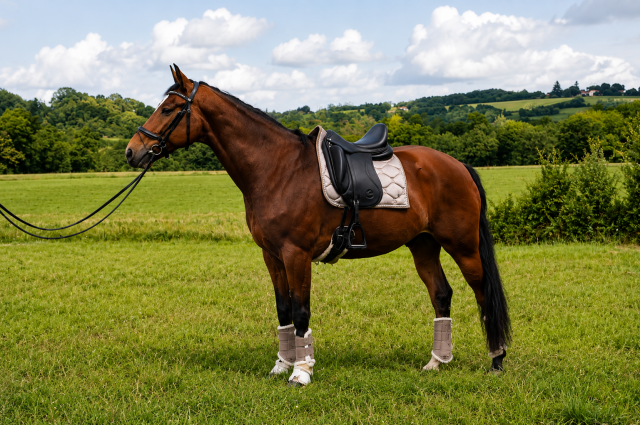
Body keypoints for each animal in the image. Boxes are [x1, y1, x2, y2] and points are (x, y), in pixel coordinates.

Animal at [125, 65, 511, 386]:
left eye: (169, 109)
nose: (132, 151)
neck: (278, 169)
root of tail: (458, 165)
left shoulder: (296, 255)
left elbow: (301, 310)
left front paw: (301, 371)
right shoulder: (272, 255)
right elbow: (283, 309)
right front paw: (281, 364)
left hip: (463, 246)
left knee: (483, 293)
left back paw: (496, 360)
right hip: (424, 244)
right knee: (441, 294)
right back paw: (437, 362)